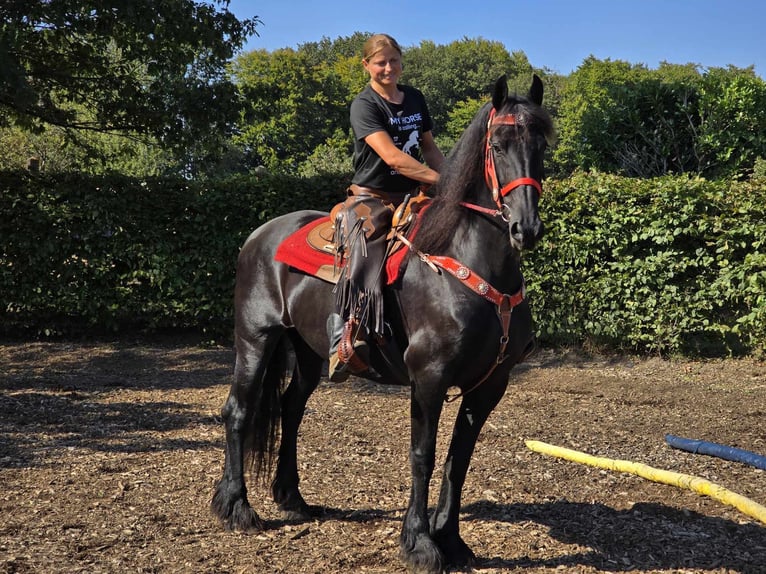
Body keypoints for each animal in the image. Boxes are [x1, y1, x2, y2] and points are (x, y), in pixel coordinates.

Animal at [213, 76, 556, 574]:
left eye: (541, 145)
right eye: (497, 144)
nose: (525, 228)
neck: (472, 263)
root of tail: (259, 235)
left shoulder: (490, 384)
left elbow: (458, 460)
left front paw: (452, 540)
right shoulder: (429, 377)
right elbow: (423, 455)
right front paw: (420, 543)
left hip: (307, 351)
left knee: (291, 409)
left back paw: (292, 498)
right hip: (256, 338)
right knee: (238, 409)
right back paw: (236, 507)